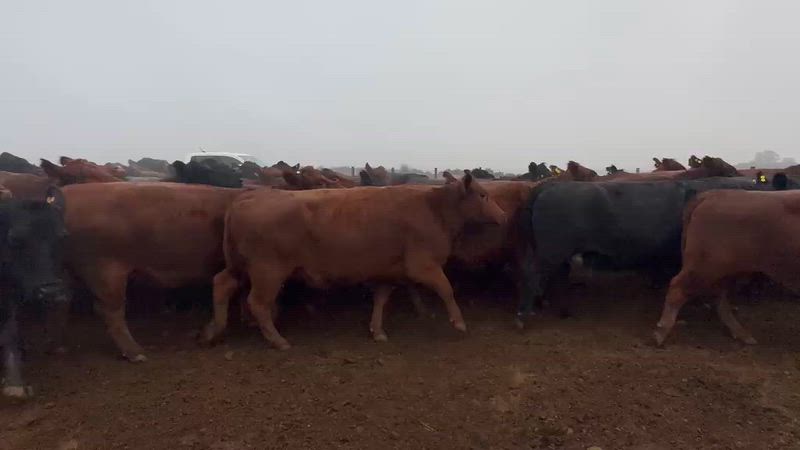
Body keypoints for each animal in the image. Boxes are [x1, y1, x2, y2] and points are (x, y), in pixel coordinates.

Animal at [200, 171, 507, 349]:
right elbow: (446, 289)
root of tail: (247, 197)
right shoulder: (424, 266)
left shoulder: (388, 271)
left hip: (241, 266)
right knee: (258, 303)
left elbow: (381, 299)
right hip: (268, 271)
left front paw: (377, 330)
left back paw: (215, 330)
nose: (503, 216)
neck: (434, 209)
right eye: (483, 195)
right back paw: (277, 340)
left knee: (222, 284)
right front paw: (459, 323)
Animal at [653, 190, 800, 346]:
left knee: (720, 299)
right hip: (705, 268)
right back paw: (660, 333)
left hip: (725, 272)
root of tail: (713, 194)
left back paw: (743, 335)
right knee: (677, 288)